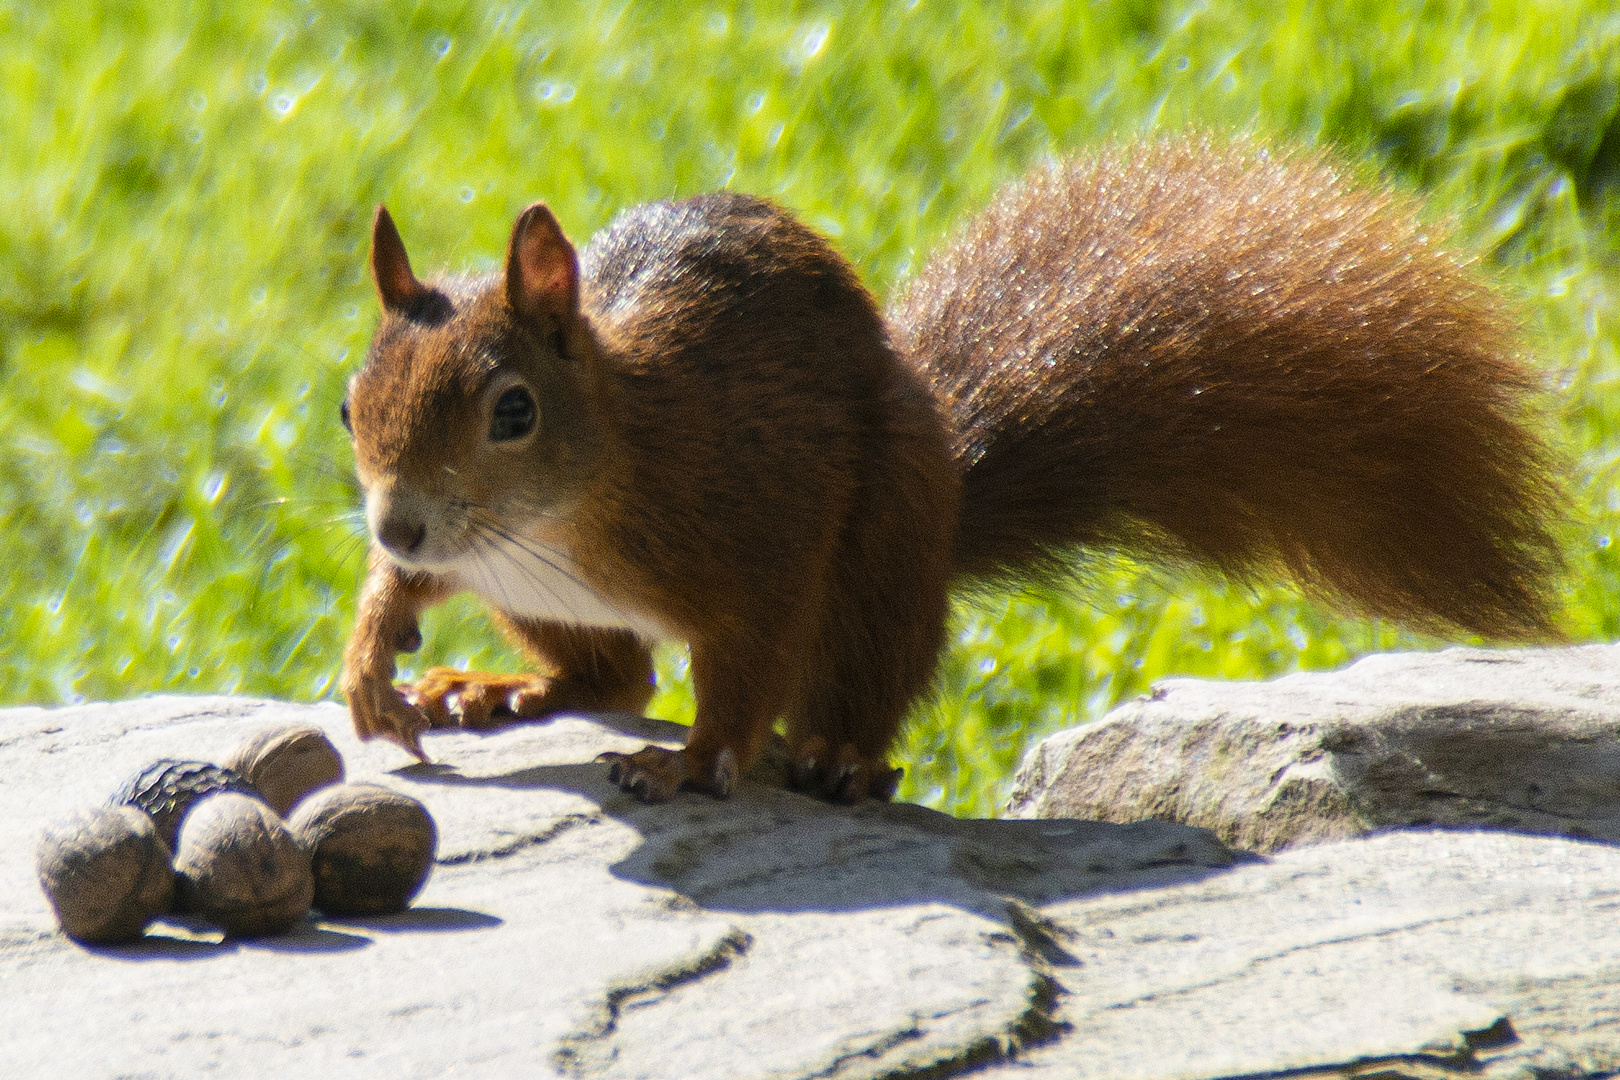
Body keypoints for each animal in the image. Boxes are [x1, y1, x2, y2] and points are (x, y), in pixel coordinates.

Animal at [335, 137, 1561, 803]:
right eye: (349, 404)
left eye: (514, 411)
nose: (396, 524)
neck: (562, 510)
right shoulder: (480, 555)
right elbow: (417, 596)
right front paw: (370, 648)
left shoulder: (751, 523)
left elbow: (743, 668)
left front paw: (694, 763)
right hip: (543, 609)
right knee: (613, 674)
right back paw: (498, 687)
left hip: (880, 554)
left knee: (843, 678)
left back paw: (836, 756)